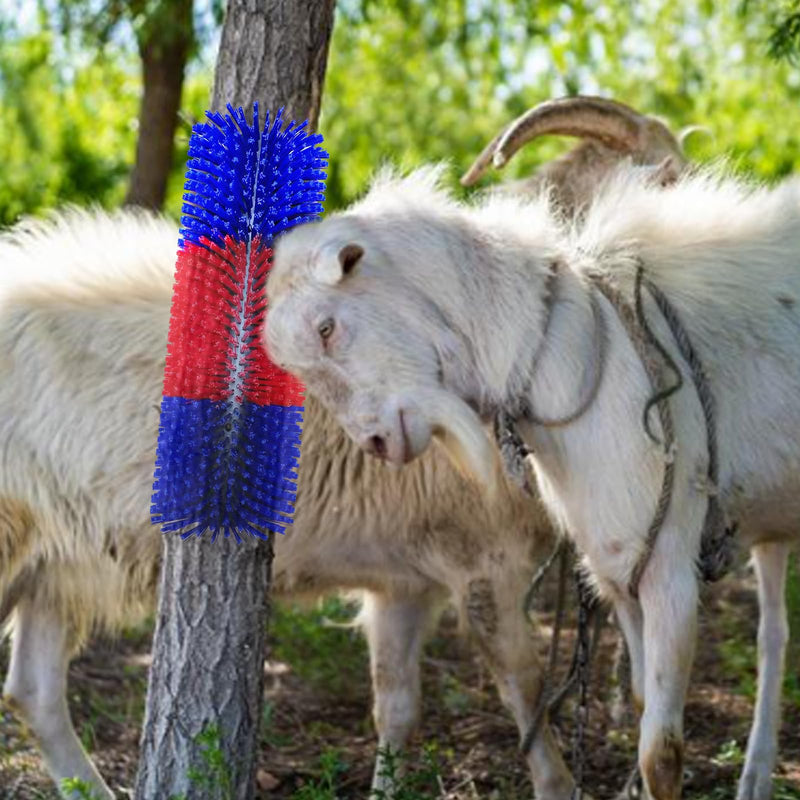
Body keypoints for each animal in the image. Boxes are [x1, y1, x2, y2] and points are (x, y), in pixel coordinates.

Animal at [0, 96, 686, 800]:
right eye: (670, 181)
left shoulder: (405, 578)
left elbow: (397, 704)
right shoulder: (484, 562)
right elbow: (523, 685)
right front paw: (557, 783)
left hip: (55, 563)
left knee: (32, 692)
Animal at [264, 163, 800, 800]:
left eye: (326, 327)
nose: (375, 443)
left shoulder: (668, 569)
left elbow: (660, 754)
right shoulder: (621, 569)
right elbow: (640, 700)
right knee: (773, 634)